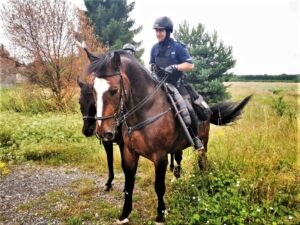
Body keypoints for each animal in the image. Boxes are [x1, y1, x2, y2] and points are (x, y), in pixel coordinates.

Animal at [83, 48, 250, 223]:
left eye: (114, 90)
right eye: (93, 90)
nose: (103, 132)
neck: (145, 111)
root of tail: (207, 109)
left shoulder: (160, 156)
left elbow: (159, 186)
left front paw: (160, 215)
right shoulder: (129, 153)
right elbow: (129, 184)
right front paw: (124, 213)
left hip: (203, 144)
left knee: (202, 162)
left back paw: (203, 182)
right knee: (178, 158)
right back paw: (176, 178)